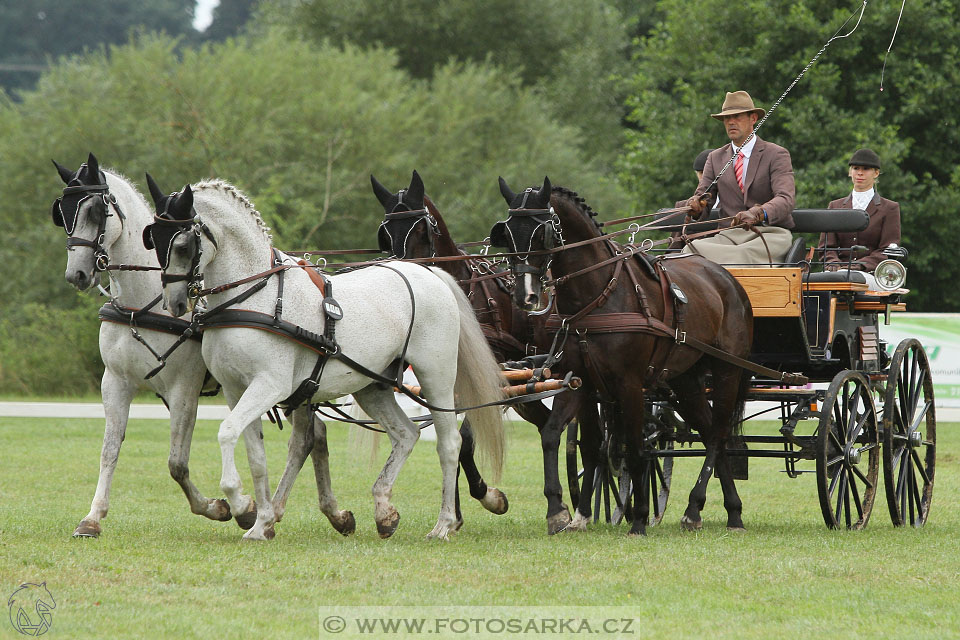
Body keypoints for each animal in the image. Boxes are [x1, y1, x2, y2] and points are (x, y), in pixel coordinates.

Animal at [145, 176, 506, 540]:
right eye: (154, 240)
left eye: (183, 245)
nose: (174, 303)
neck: (253, 297)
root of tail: (431, 275)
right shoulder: (236, 390)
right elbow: (256, 455)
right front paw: (260, 522)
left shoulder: (270, 385)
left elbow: (227, 432)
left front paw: (240, 501)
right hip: (372, 385)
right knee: (406, 434)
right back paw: (384, 511)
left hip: (436, 378)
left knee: (449, 444)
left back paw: (444, 524)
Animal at [372, 171, 596, 536]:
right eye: (386, 234)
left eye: (421, 229)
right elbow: (452, 435)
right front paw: (455, 514)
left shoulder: (489, 378)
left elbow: (464, 438)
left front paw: (488, 496)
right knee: (548, 425)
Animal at [492, 175, 752, 536]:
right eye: (508, 233)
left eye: (541, 232)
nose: (524, 296)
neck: (598, 296)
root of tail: (727, 278)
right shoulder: (580, 382)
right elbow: (566, 439)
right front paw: (566, 512)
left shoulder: (629, 385)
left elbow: (634, 449)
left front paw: (639, 517)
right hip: (685, 381)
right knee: (709, 429)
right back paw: (730, 512)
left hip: (728, 371)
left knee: (716, 435)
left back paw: (696, 508)